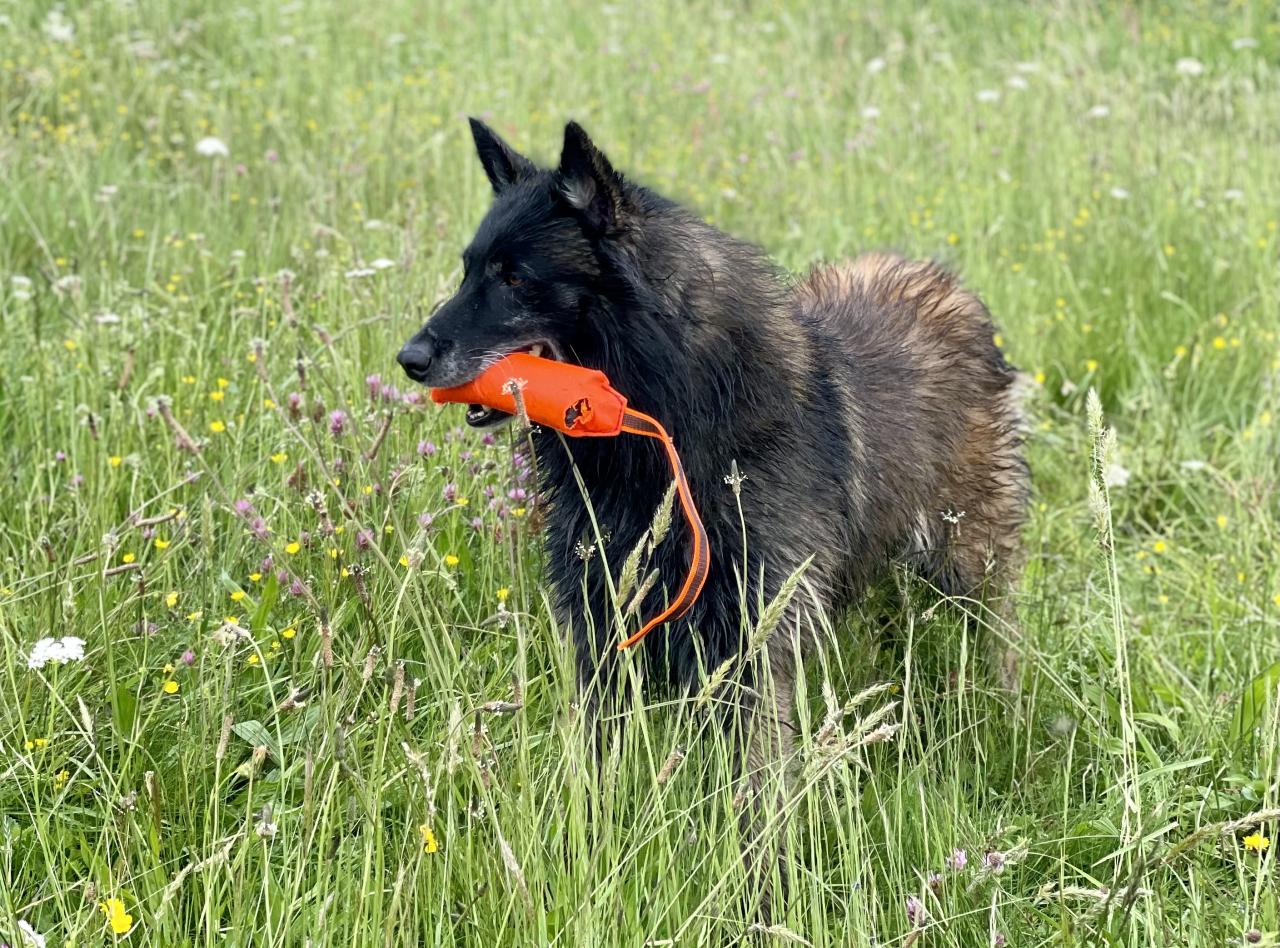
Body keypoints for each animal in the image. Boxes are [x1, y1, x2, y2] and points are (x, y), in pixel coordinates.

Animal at [399, 116, 1029, 798]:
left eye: (514, 277)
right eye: (468, 271)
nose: (409, 359)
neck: (660, 425)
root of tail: (947, 282)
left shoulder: (753, 630)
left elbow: (756, 775)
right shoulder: (602, 614)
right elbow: (599, 748)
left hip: (969, 557)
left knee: (998, 633)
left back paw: (1007, 712)